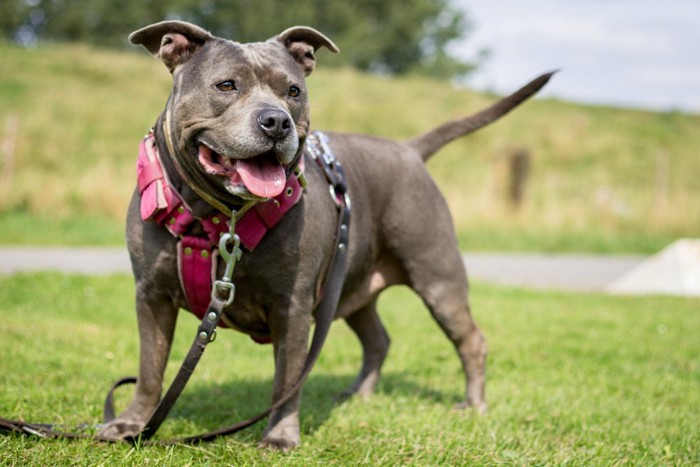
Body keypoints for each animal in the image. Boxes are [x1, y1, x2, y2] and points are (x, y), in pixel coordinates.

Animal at [98, 19, 556, 450]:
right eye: (226, 85)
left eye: (293, 91)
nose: (276, 121)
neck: (219, 216)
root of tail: (409, 149)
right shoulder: (151, 296)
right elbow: (150, 368)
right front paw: (130, 423)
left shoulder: (292, 306)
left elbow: (286, 380)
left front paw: (280, 436)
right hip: (353, 285)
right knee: (378, 339)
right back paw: (359, 394)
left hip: (438, 278)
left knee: (471, 340)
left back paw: (474, 404)